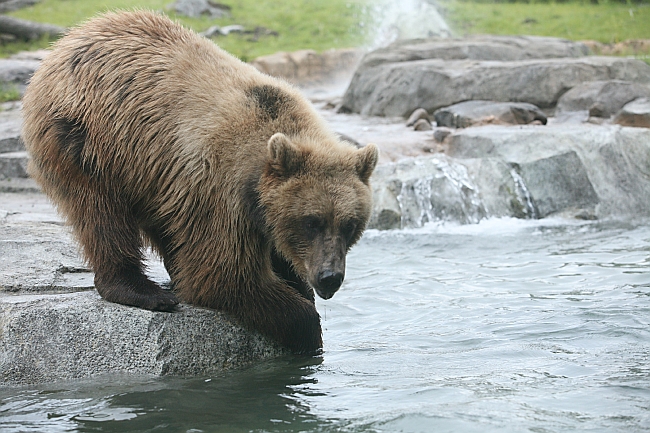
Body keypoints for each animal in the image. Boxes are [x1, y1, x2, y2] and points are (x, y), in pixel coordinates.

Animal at [22, 11, 378, 354]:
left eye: (350, 224)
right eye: (311, 221)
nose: (330, 277)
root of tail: (68, 39)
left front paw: (298, 284)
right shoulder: (217, 187)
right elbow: (223, 275)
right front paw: (308, 327)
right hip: (87, 140)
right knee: (101, 215)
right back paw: (144, 290)